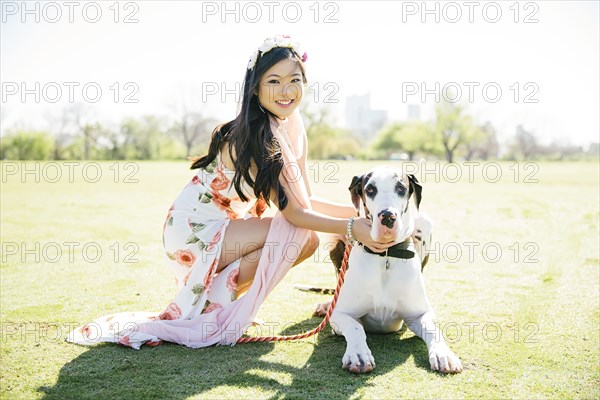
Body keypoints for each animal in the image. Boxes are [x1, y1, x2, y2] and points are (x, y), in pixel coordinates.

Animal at [324, 167, 460, 374]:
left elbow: (433, 329)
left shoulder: (420, 314)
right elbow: (355, 327)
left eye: (401, 188)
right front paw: (358, 354)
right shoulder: (341, 314)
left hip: (424, 221)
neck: (386, 256)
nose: (388, 216)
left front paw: (443, 354)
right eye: (370, 189)